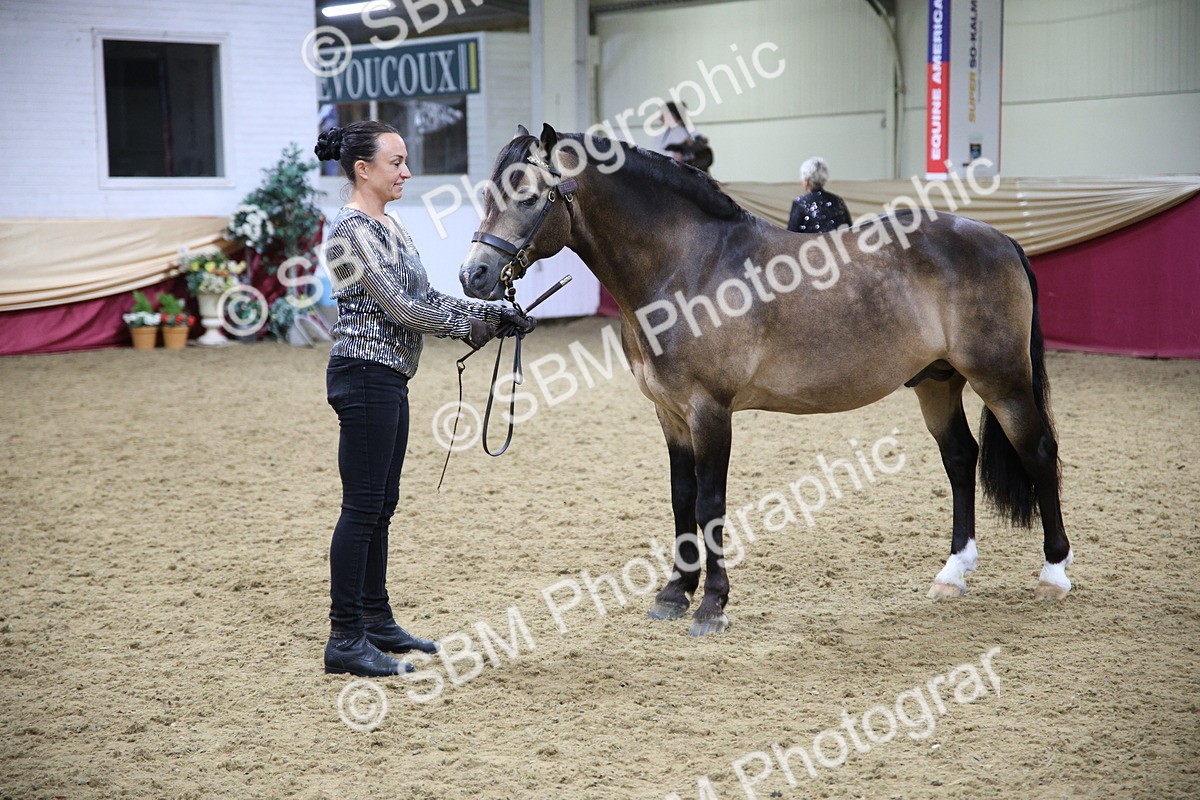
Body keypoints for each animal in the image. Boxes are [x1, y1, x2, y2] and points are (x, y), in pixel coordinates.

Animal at [458, 124, 1073, 637]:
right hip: (937, 382)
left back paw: (1054, 573)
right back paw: (953, 574)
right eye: (489, 195)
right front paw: (673, 594)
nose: (473, 275)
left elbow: (710, 502)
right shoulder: (670, 413)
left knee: (1038, 453)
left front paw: (711, 606)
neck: (689, 266)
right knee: (960, 459)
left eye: (529, 195)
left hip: (1002, 381)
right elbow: (681, 497)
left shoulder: (709, 410)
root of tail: (999, 239)